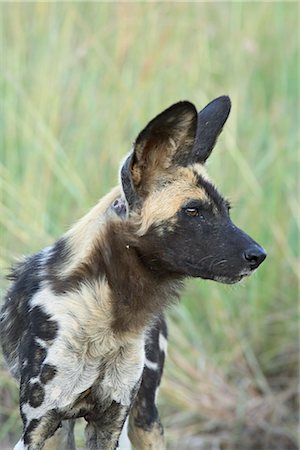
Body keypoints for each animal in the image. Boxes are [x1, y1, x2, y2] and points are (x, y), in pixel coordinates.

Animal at [0, 96, 268, 450]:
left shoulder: (112, 419)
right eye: (193, 210)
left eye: (227, 211)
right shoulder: (40, 425)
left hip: (145, 418)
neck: (108, 317)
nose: (259, 255)